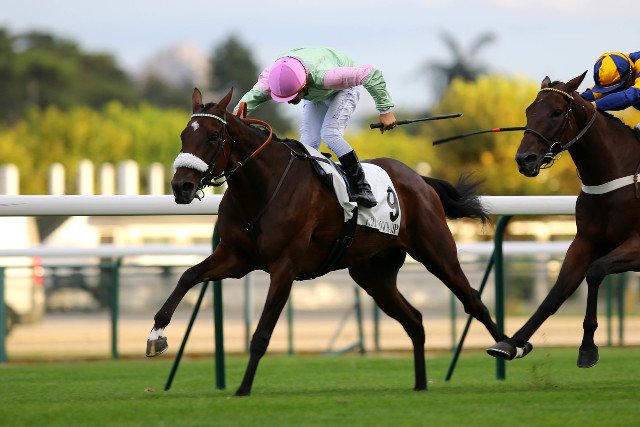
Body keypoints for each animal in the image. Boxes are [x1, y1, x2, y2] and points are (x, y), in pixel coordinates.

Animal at [147, 87, 511, 396]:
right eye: (184, 136)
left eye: (212, 136)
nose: (181, 186)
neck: (263, 185)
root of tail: (419, 179)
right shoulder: (236, 257)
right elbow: (188, 275)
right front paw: (157, 335)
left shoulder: (284, 266)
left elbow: (262, 332)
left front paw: (243, 388)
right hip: (372, 274)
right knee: (415, 320)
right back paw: (421, 384)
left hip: (436, 251)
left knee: (473, 302)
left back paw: (508, 347)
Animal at [487, 72, 640, 368]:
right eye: (528, 111)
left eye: (557, 112)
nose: (524, 160)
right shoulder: (584, 242)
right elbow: (555, 294)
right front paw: (512, 343)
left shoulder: (637, 246)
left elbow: (596, 270)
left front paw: (587, 347)